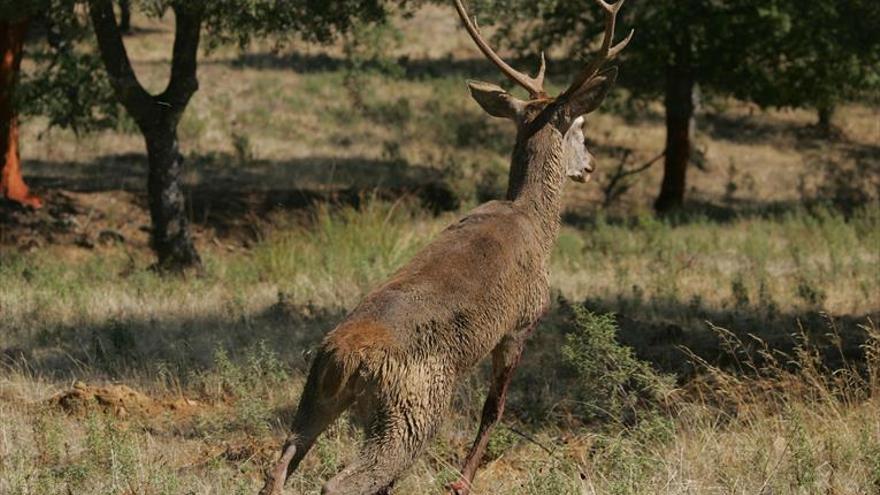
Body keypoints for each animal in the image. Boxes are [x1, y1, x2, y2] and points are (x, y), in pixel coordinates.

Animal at [262, 1, 632, 494]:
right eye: (580, 126)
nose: (590, 166)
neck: (535, 221)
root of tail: (344, 360)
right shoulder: (521, 322)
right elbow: (493, 410)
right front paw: (463, 480)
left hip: (315, 396)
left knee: (280, 463)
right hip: (412, 407)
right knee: (342, 482)